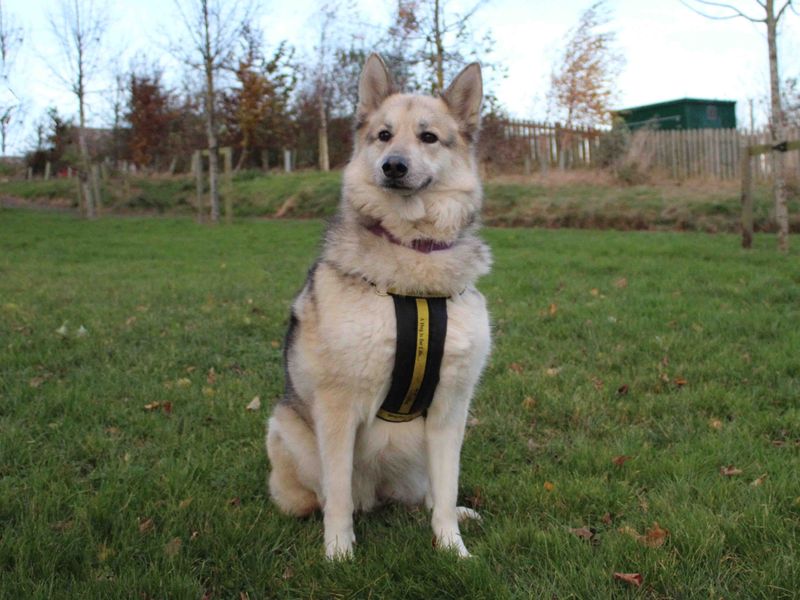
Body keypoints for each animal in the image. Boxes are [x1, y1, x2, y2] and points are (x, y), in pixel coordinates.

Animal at [268, 54, 490, 560]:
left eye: (428, 137)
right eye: (384, 135)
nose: (393, 166)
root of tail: (382, 494)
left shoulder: (451, 408)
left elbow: (445, 491)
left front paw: (452, 547)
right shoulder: (337, 407)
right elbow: (338, 496)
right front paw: (338, 553)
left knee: (429, 493)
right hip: (286, 429)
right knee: (326, 495)